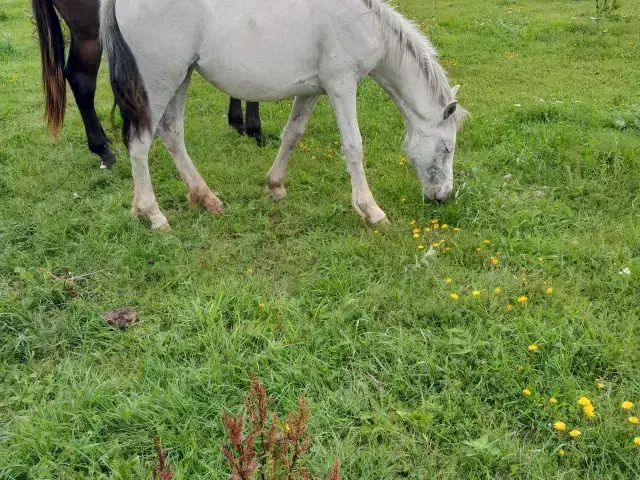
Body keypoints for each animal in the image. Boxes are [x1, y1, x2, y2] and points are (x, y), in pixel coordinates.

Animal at [100, 0, 464, 231]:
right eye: (447, 148)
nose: (444, 196)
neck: (362, 21)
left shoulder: (311, 91)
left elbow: (292, 134)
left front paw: (275, 187)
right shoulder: (341, 86)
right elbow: (353, 146)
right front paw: (371, 210)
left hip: (181, 77)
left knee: (172, 134)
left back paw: (205, 198)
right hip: (159, 81)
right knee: (140, 144)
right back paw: (153, 214)